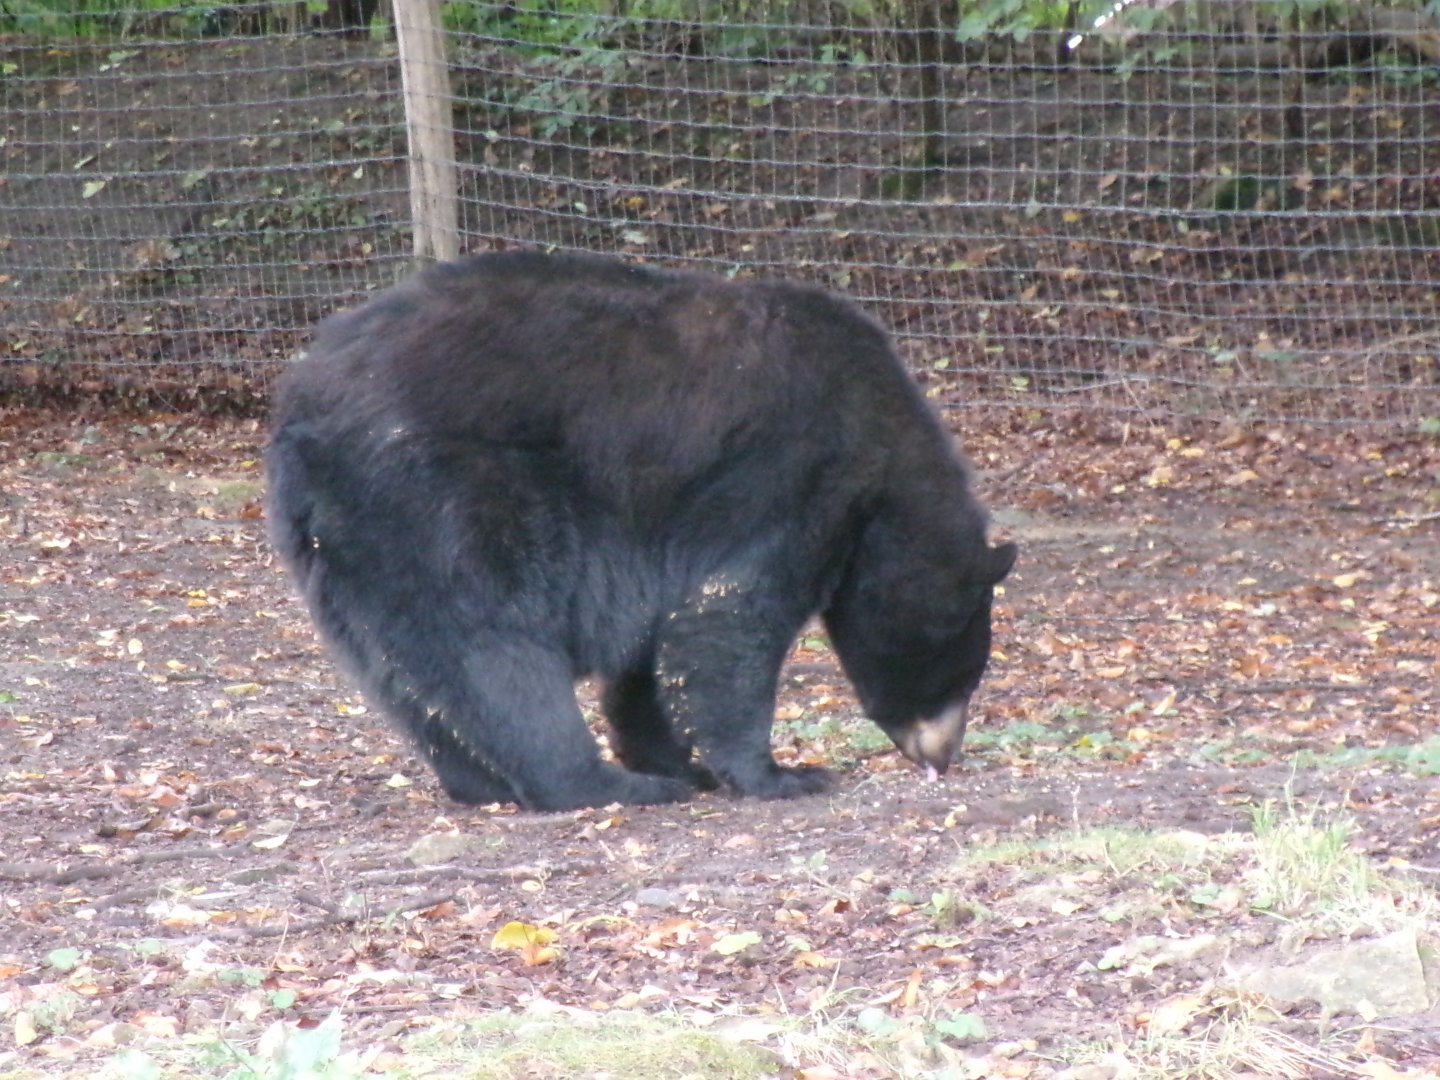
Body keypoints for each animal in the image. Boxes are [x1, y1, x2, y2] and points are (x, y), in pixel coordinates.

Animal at [265, 251, 1016, 811]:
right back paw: (602, 783)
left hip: (337, 547)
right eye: (963, 669)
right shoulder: (792, 475)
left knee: (404, 672)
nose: (945, 755)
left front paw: (674, 754)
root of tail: (301, 404)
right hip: (439, 496)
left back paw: (480, 781)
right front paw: (780, 773)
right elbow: (727, 620)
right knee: (493, 649)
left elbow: (656, 648)